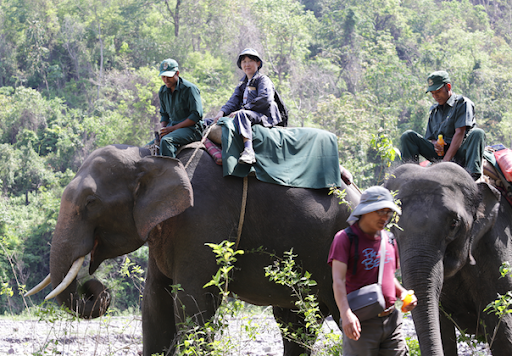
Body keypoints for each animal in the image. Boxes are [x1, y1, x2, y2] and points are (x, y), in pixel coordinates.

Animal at [28, 145, 362, 356]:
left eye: (91, 202)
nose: (93, 288)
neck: (155, 156)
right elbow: (155, 301)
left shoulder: (203, 220)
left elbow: (192, 301)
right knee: (296, 323)